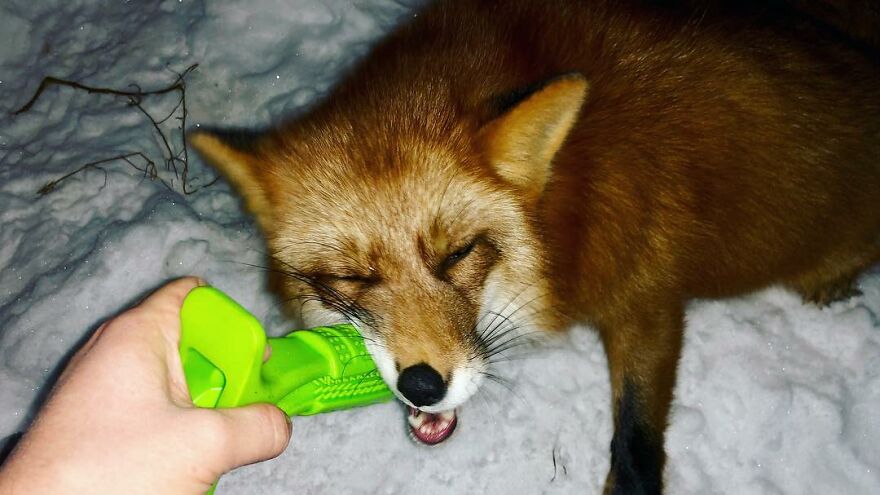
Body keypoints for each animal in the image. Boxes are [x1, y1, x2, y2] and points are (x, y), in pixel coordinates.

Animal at [189, 0, 880, 492]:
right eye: (354, 277)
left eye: (457, 254)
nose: (422, 386)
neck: (567, 206)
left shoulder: (648, 293)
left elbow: (636, 439)